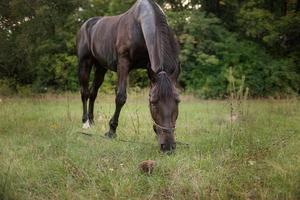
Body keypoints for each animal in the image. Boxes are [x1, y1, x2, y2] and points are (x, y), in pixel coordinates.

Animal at [77, 0, 180, 151]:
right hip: (85, 63)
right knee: (84, 92)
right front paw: (111, 131)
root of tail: (86, 24)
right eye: (153, 102)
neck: (139, 24)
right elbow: (120, 97)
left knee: (93, 92)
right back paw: (86, 123)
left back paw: (92, 120)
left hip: (101, 67)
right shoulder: (123, 64)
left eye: (177, 101)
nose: (168, 146)